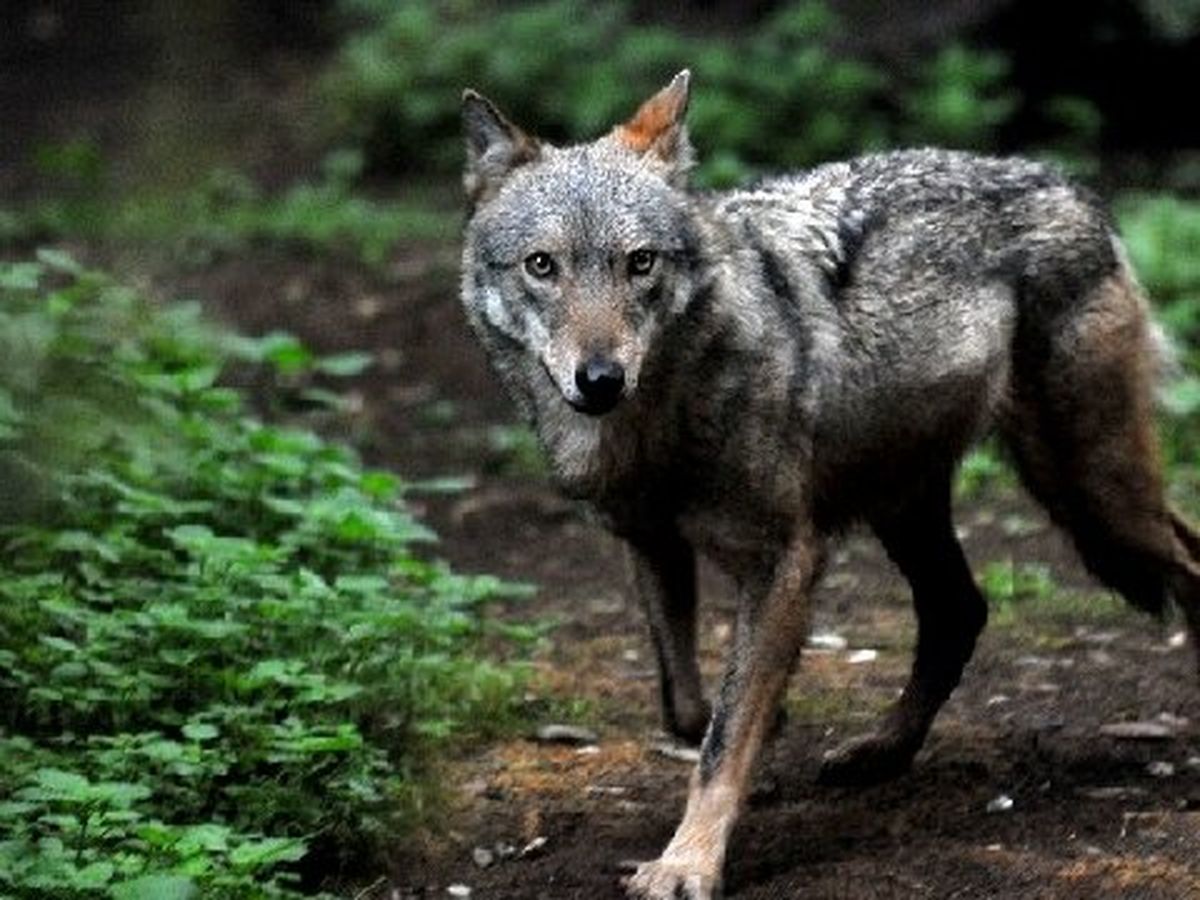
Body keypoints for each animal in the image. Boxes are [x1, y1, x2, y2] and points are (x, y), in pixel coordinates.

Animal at [456, 72, 1200, 900]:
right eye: (542, 266)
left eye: (639, 263)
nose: (600, 379)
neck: (658, 425)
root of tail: (1065, 182)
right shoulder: (650, 544)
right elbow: (689, 708)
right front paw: (761, 738)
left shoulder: (785, 561)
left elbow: (723, 739)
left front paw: (688, 862)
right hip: (913, 505)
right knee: (961, 610)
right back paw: (880, 752)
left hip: (1090, 496)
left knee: (1187, 561)